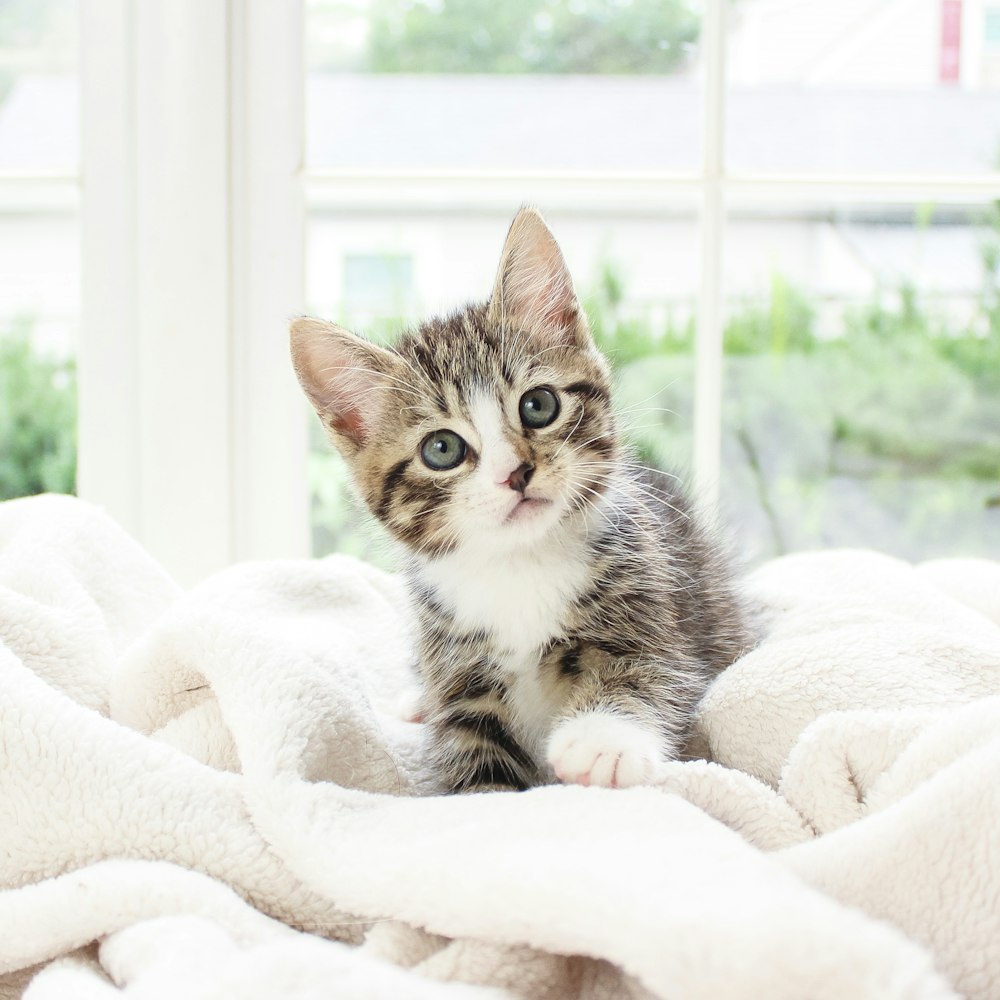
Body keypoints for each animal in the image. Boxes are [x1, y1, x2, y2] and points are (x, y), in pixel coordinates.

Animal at [292, 207, 748, 792]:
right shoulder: (460, 673)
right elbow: (477, 773)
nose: (516, 473)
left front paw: (602, 741)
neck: (520, 565)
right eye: (442, 449)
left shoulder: (662, 607)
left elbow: (651, 670)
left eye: (538, 405)